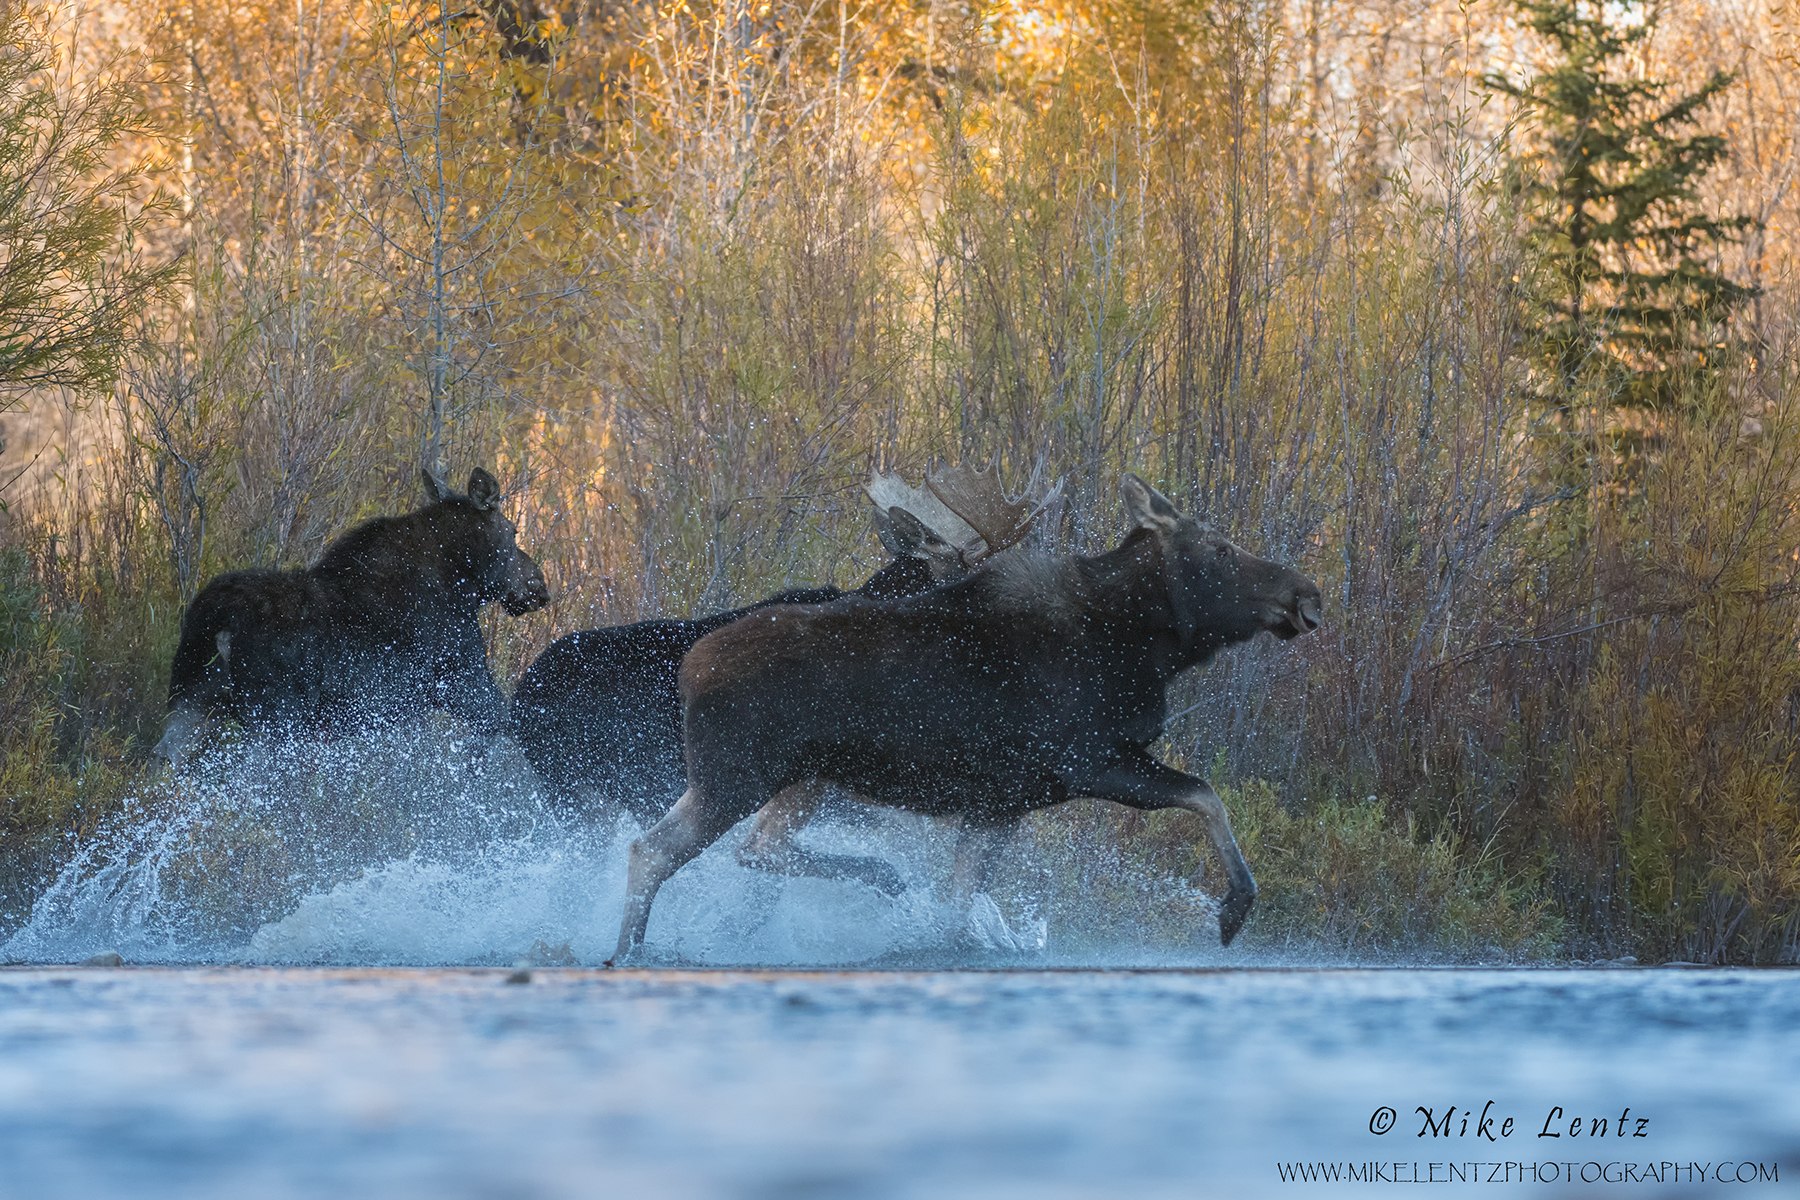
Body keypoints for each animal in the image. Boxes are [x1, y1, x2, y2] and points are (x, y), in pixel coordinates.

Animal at [154, 464, 547, 766]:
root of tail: (218, 622)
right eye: (513, 532)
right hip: (275, 718)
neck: (463, 585)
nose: (539, 584)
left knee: (165, 757)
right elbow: (507, 723)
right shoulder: (460, 675)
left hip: (193, 698)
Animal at [615, 474, 1324, 964]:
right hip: (738, 774)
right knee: (655, 850)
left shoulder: (1001, 801)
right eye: (1222, 548)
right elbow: (1206, 795)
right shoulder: (1089, 761)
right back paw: (630, 952)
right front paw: (1233, 909)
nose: (1307, 594)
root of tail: (690, 667)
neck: (1142, 648)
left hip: (800, 779)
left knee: (755, 849)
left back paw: (881, 879)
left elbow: (959, 910)